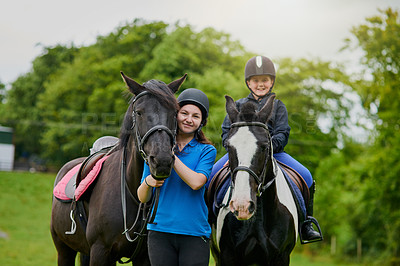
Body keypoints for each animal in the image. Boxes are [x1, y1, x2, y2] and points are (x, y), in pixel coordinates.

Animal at [50, 71, 187, 264]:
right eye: (139, 112)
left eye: (175, 112)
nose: (162, 160)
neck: (133, 193)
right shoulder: (100, 251)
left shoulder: (144, 257)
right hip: (64, 250)